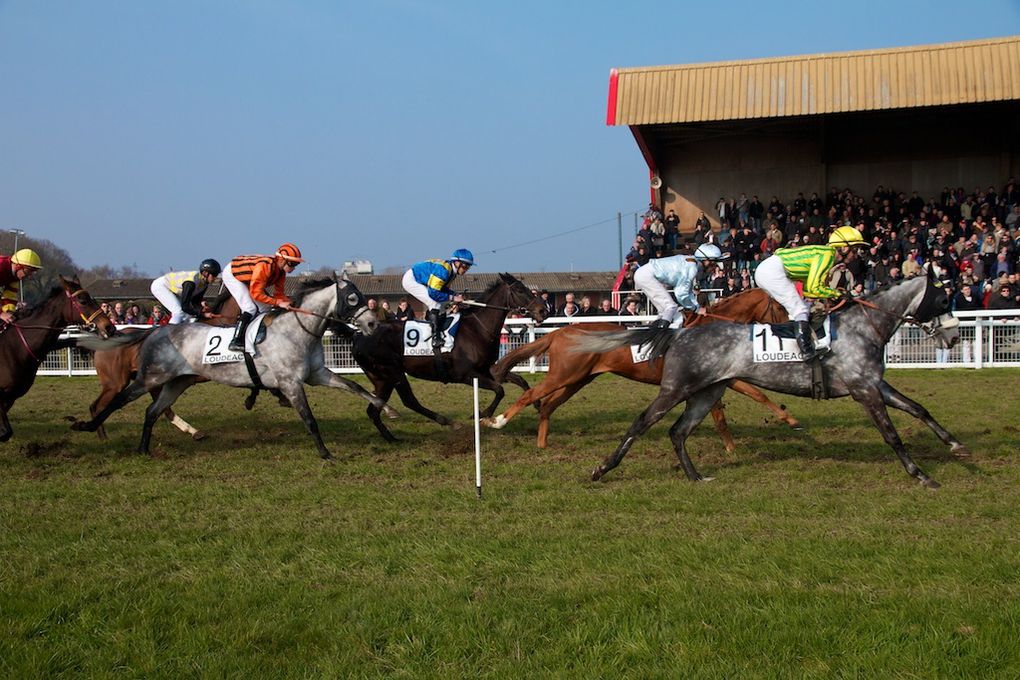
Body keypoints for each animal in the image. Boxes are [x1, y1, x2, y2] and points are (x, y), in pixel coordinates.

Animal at [71, 273, 393, 460]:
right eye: (352, 298)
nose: (372, 324)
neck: (296, 330)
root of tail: (156, 331)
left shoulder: (316, 375)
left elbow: (353, 385)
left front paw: (387, 408)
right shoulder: (290, 383)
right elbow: (309, 418)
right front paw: (325, 453)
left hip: (177, 382)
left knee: (153, 410)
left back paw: (144, 448)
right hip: (148, 377)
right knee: (117, 402)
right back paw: (88, 426)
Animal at [354, 273, 554, 442]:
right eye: (520, 290)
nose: (543, 311)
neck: (477, 330)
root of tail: (359, 337)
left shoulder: (488, 370)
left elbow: (519, 380)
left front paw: (537, 404)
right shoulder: (465, 375)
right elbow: (499, 390)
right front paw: (481, 414)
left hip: (382, 379)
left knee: (374, 410)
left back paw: (391, 438)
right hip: (392, 373)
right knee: (409, 401)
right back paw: (449, 423)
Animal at [481, 287, 799, 452]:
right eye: (780, 306)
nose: (791, 326)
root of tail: (560, 332)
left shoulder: (720, 379)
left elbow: (745, 401)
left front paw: (787, 421)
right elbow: (747, 399)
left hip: (577, 379)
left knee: (547, 404)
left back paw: (542, 443)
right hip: (564, 375)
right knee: (531, 395)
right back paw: (496, 421)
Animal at [575, 271, 962, 489]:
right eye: (943, 299)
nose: (955, 336)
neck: (863, 327)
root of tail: (680, 332)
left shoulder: (874, 383)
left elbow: (918, 408)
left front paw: (955, 443)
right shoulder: (863, 389)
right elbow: (892, 435)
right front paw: (921, 474)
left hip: (707, 391)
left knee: (678, 431)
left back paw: (696, 477)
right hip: (677, 388)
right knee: (642, 423)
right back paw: (602, 469)